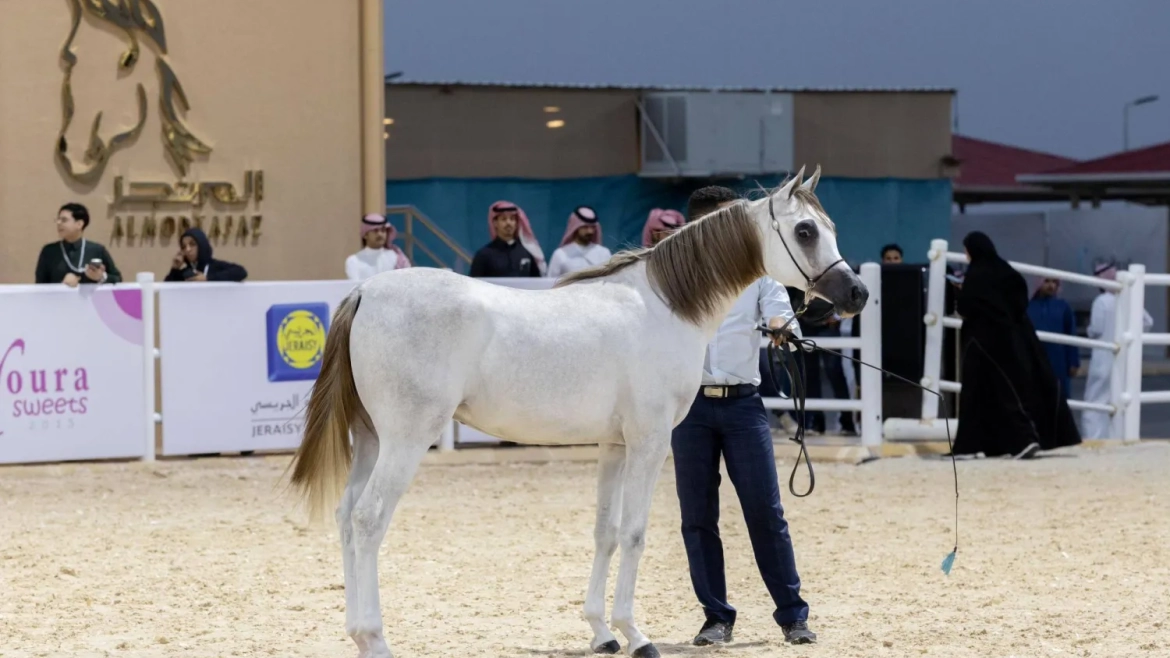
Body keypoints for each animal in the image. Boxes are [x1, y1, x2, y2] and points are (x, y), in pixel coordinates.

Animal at [286, 165, 865, 655]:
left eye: (832, 227)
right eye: (806, 231)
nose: (856, 293)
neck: (665, 305)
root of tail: (366, 291)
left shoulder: (614, 445)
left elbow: (605, 532)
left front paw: (603, 633)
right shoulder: (651, 442)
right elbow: (634, 533)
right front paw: (637, 635)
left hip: (372, 440)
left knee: (346, 515)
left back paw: (356, 634)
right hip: (405, 440)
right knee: (368, 519)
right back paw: (374, 639)